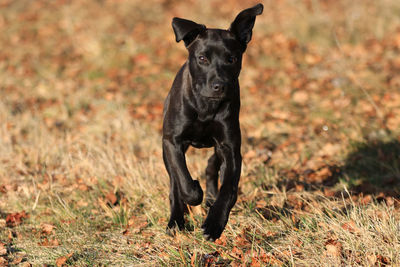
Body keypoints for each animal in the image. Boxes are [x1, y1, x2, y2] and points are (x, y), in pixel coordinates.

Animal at [162, 3, 262, 242]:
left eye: (231, 59)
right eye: (202, 58)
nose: (219, 86)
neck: (206, 107)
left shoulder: (230, 147)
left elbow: (229, 189)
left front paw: (214, 223)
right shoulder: (172, 141)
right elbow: (183, 180)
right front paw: (195, 193)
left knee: (210, 165)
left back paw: (209, 198)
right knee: (174, 184)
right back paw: (176, 221)